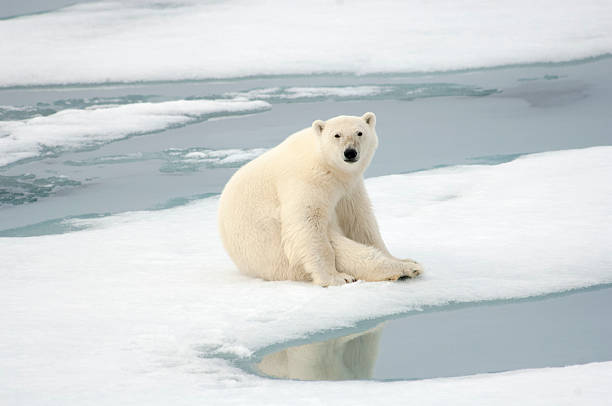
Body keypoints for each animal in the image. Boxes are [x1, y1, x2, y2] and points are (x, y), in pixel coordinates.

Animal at [218, 112, 424, 288]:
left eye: (360, 132)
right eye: (336, 135)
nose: (350, 152)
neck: (328, 166)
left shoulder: (349, 188)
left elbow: (359, 221)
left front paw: (399, 257)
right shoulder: (306, 179)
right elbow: (307, 223)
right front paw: (335, 278)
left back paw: (407, 263)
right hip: (278, 257)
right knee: (340, 249)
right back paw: (403, 270)